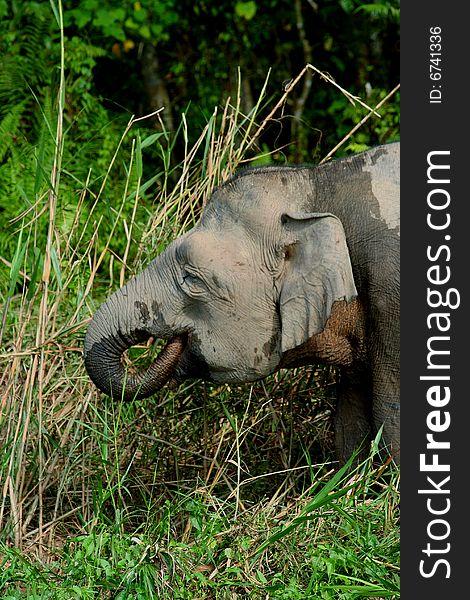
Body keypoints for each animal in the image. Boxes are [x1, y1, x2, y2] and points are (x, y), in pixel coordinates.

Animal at [84, 141, 400, 464]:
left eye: (191, 278)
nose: (175, 341)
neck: (317, 183)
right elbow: (349, 425)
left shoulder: (390, 289)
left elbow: (390, 421)